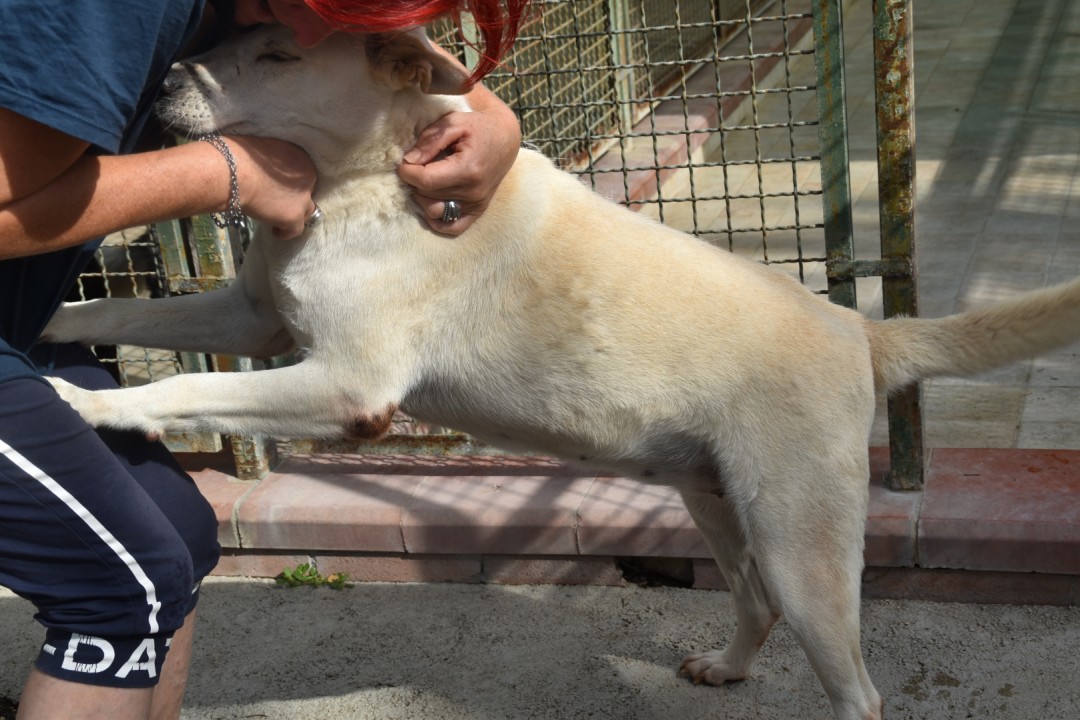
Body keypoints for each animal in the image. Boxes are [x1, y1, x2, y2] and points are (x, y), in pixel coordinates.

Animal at [43, 26, 1080, 720]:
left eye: (280, 56)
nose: (161, 81)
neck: (368, 179)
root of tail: (861, 332)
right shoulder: (250, 317)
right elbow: (116, 314)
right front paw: (50, 325)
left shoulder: (346, 385)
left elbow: (181, 385)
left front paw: (86, 404)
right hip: (714, 500)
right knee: (752, 604)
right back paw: (725, 669)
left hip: (802, 542)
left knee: (857, 688)